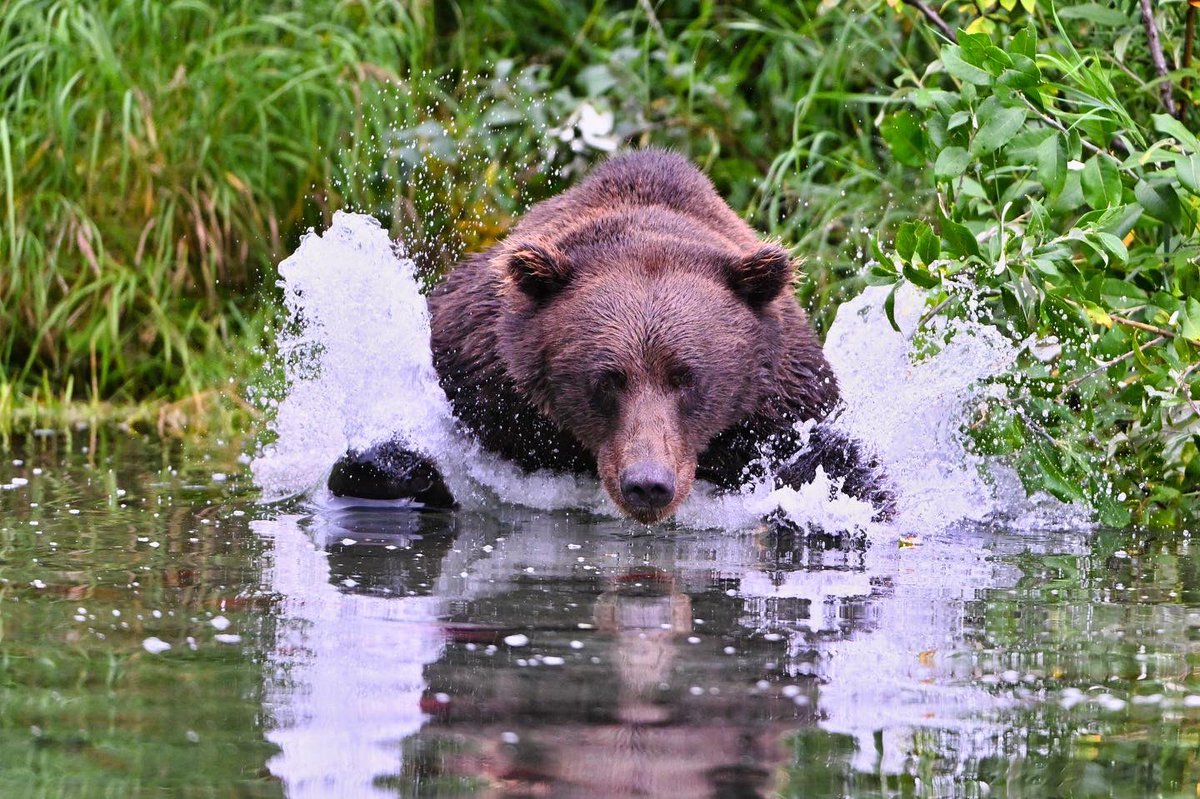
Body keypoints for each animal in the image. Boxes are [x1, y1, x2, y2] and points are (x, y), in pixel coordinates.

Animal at [328, 149, 892, 523]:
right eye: (608, 378)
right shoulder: (476, 364)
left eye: (688, 377)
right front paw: (394, 468)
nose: (648, 484)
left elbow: (842, 467)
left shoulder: (787, 397)